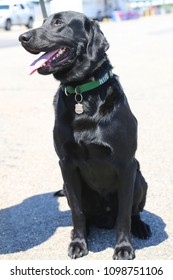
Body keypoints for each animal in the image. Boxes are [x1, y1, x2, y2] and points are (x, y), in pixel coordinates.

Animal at [19, 10, 151, 260]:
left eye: (58, 23)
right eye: (42, 22)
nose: (22, 37)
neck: (81, 93)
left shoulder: (126, 164)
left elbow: (124, 215)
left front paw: (123, 247)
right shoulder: (66, 164)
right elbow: (77, 213)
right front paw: (79, 243)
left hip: (139, 178)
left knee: (132, 212)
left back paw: (140, 227)